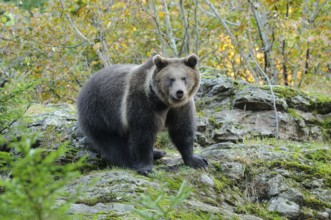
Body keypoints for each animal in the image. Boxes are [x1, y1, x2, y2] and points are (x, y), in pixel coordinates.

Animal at [76, 54, 209, 174]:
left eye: (184, 78)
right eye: (171, 79)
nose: (179, 92)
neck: (162, 102)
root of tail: (85, 85)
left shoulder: (181, 107)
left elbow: (182, 130)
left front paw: (197, 161)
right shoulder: (142, 103)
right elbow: (143, 134)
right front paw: (146, 167)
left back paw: (158, 152)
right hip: (99, 113)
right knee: (112, 143)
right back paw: (131, 162)